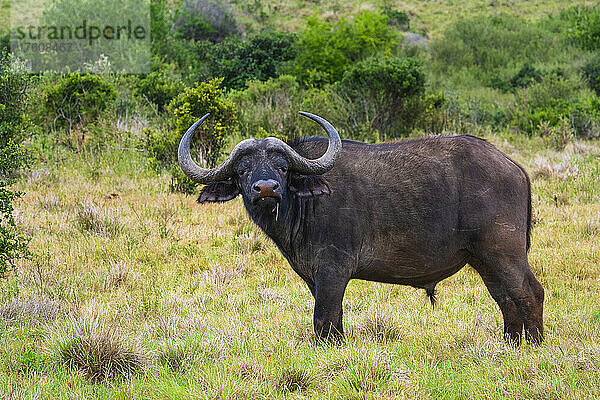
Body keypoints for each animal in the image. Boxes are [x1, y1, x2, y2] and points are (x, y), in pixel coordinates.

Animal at [178, 111, 544, 344]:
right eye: (242, 170)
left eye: (282, 167)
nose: (265, 188)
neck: (305, 203)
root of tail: (512, 165)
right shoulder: (314, 277)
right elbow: (332, 317)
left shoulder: (333, 269)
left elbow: (324, 317)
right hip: (483, 260)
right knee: (505, 298)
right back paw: (512, 345)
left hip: (504, 253)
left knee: (529, 292)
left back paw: (535, 345)